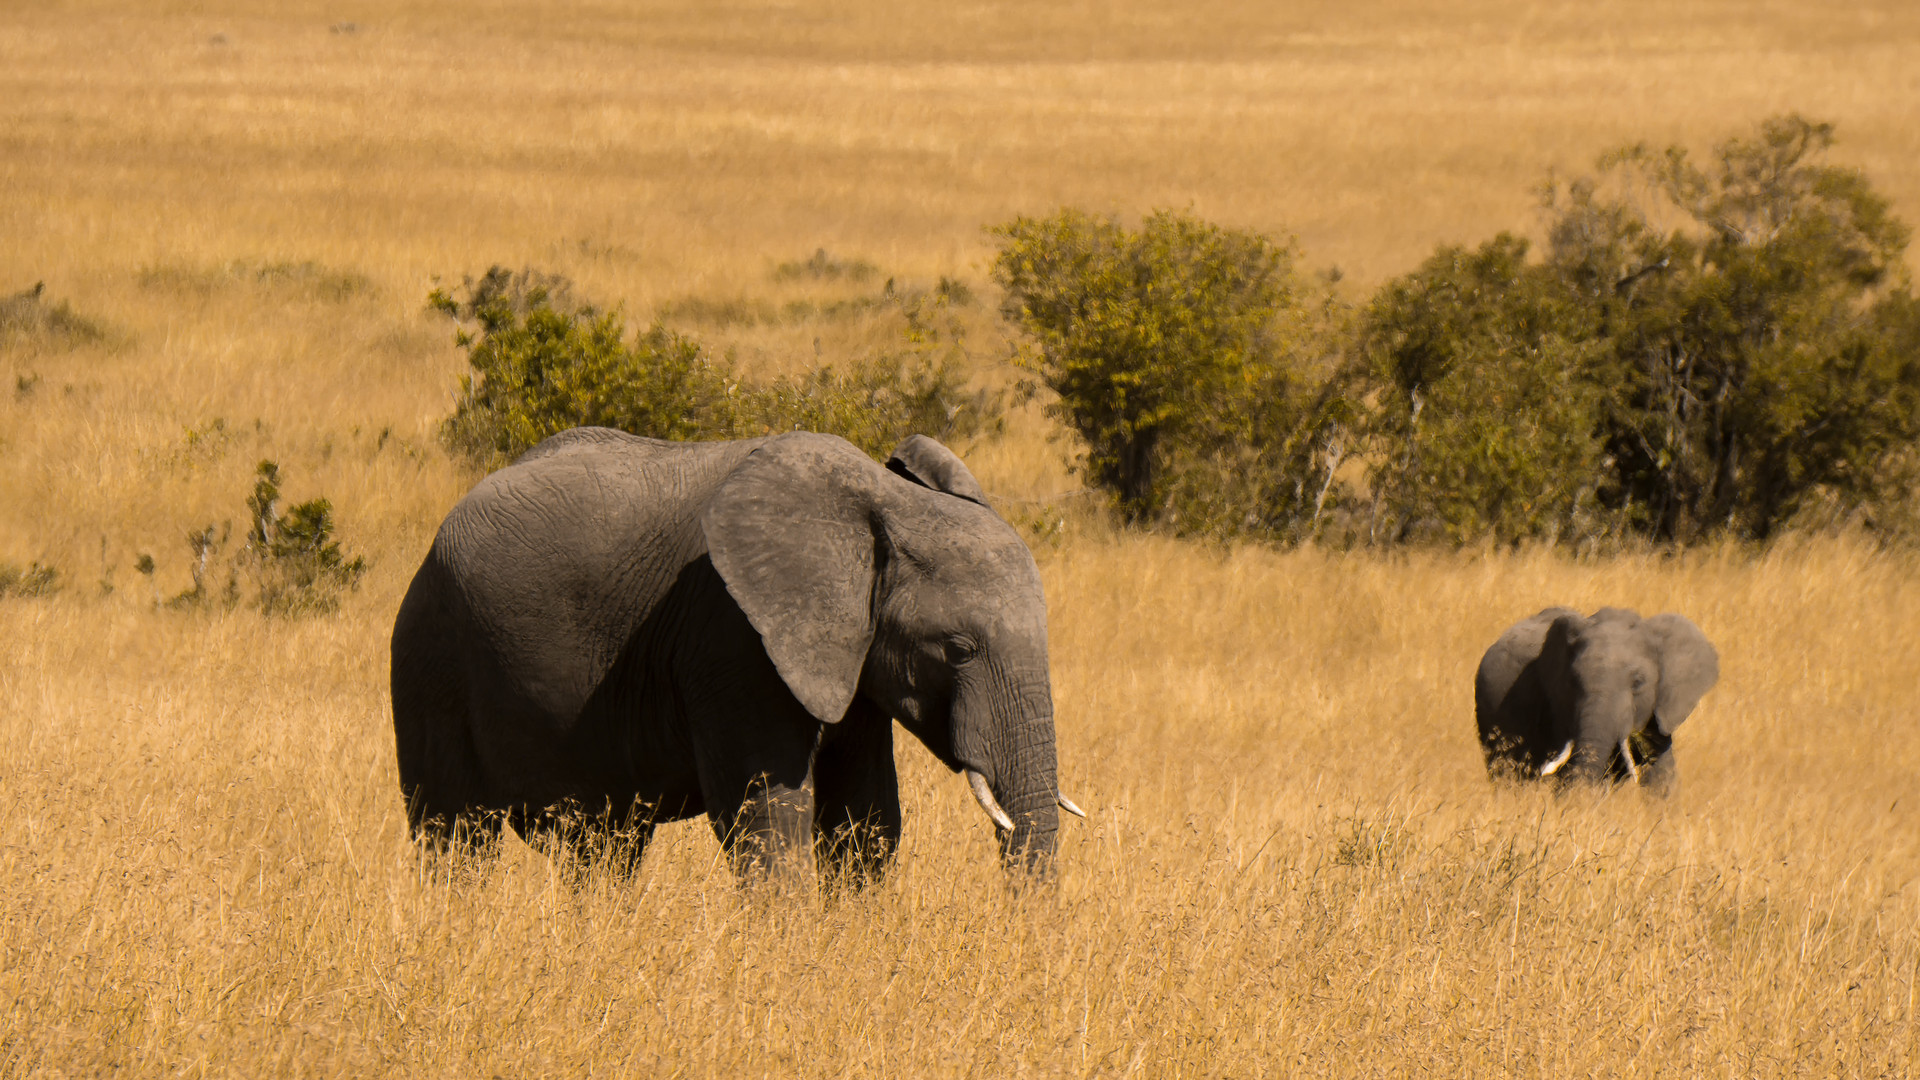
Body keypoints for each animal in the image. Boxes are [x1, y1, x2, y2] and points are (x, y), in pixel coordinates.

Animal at [389, 424, 1082, 880]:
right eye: (958, 650)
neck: (882, 505)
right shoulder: (732, 640)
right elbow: (767, 819)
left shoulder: (849, 651)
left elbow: (864, 819)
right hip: (430, 654)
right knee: (456, 834)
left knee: (607, 846)